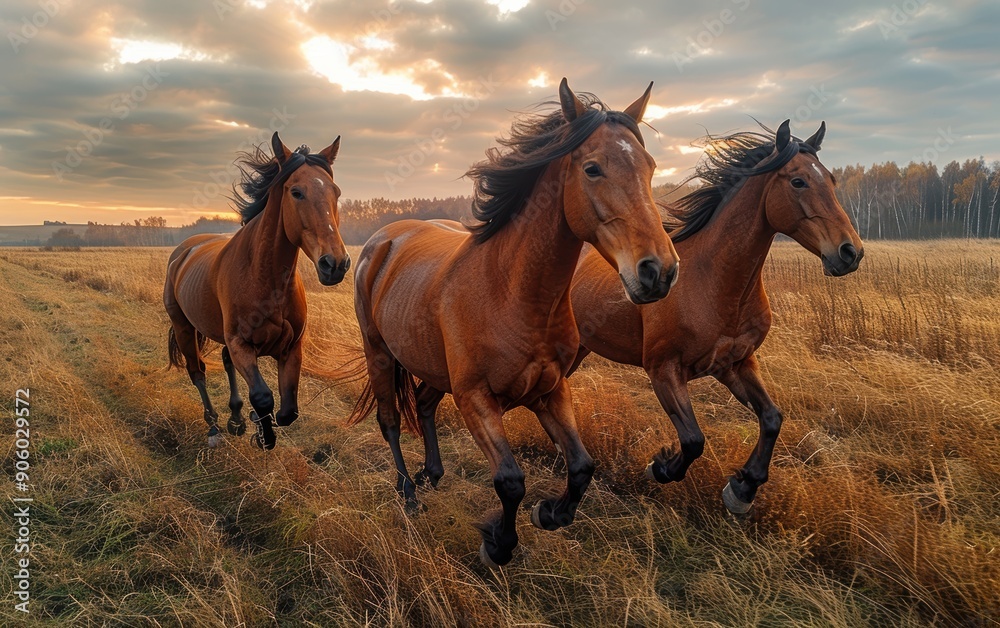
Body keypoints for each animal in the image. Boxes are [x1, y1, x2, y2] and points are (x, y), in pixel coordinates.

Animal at [164, 132, 350, 450]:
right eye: (296, 192)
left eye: (335, 192)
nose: (335, 264)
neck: (266, 279)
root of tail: (183, 252)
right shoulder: (241, 345)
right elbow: (262, 396)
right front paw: (262, 434)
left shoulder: (291, 348)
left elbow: (288, 410)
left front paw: (255, 424)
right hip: (184, 327)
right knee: (197, 372)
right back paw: (214, 428)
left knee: (224, 363)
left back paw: (236, 419)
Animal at [346, 78, 680, 567]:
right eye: (593, 169)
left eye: (651, 167)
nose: (660, 272)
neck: (513, 292)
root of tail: (382, 240)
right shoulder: (475, 400)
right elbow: (509, 480)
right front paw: (498, 543)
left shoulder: (551, 390)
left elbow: (582, 466)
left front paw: (550, 513)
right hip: (380, 354)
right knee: (390, 420)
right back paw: (409, 493)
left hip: (432, 365)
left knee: (423, 406)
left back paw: (432, 474)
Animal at [567, 119, 864, 514]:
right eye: (798, 181)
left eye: (831, 180)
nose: (850, 252)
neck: (715, 282)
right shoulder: (664, 370)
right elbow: (693, 439)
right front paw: (660, 467)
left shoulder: (734, 364)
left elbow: (772, 418)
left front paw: (743, 489)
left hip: (581, 348)